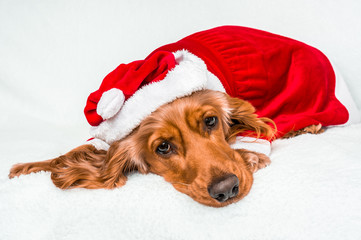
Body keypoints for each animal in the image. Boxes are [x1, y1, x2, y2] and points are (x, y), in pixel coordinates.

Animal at [9, 25, 352, 206]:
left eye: (211, 121)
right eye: (163, 147)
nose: (227, 189)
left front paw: (250, 155)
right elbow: (72, 155)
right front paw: (26, 167)